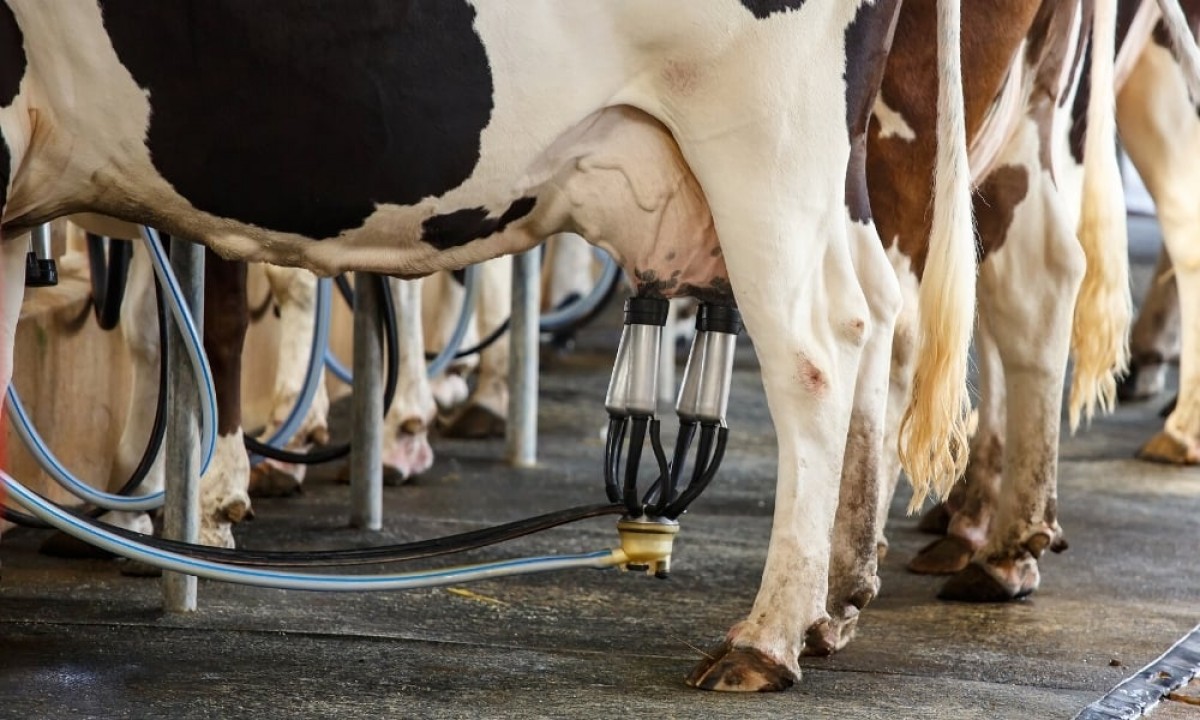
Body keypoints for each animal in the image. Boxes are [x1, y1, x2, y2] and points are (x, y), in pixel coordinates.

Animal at [0, 2, 974, 696]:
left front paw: (195, 510)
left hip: (763, 135)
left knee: (818, 345)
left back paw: (766, 640)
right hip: (830, 166)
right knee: (880, 307)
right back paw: (835, 602)